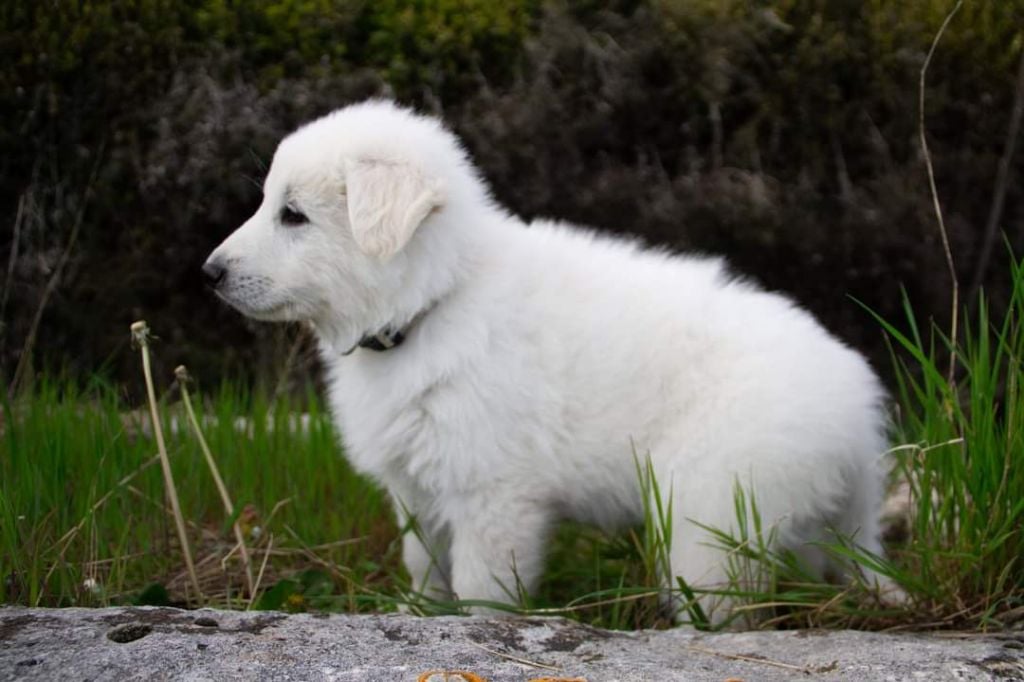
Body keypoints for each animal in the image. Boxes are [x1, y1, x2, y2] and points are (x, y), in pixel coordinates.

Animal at [203, 100, 897, 625]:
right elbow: (424, 564)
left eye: (293, 215)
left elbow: (480, 590)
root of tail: (856, 412)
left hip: (711, 510)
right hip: (810, 520)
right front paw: (417, 614)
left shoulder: (491, 494)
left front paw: (472, 630)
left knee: (726, 606)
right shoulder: (418, 486)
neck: (435, 299)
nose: (210, 273)